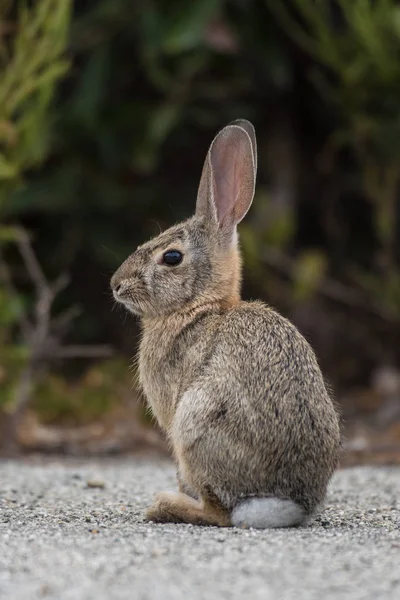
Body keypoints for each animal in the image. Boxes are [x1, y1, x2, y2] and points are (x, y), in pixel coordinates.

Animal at [110, 119, 340, 528]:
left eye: (171, 257)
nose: (116, 284)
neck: (199, 307)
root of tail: (286, 501)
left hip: (195, 422)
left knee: (219, 512)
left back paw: (164, 505)